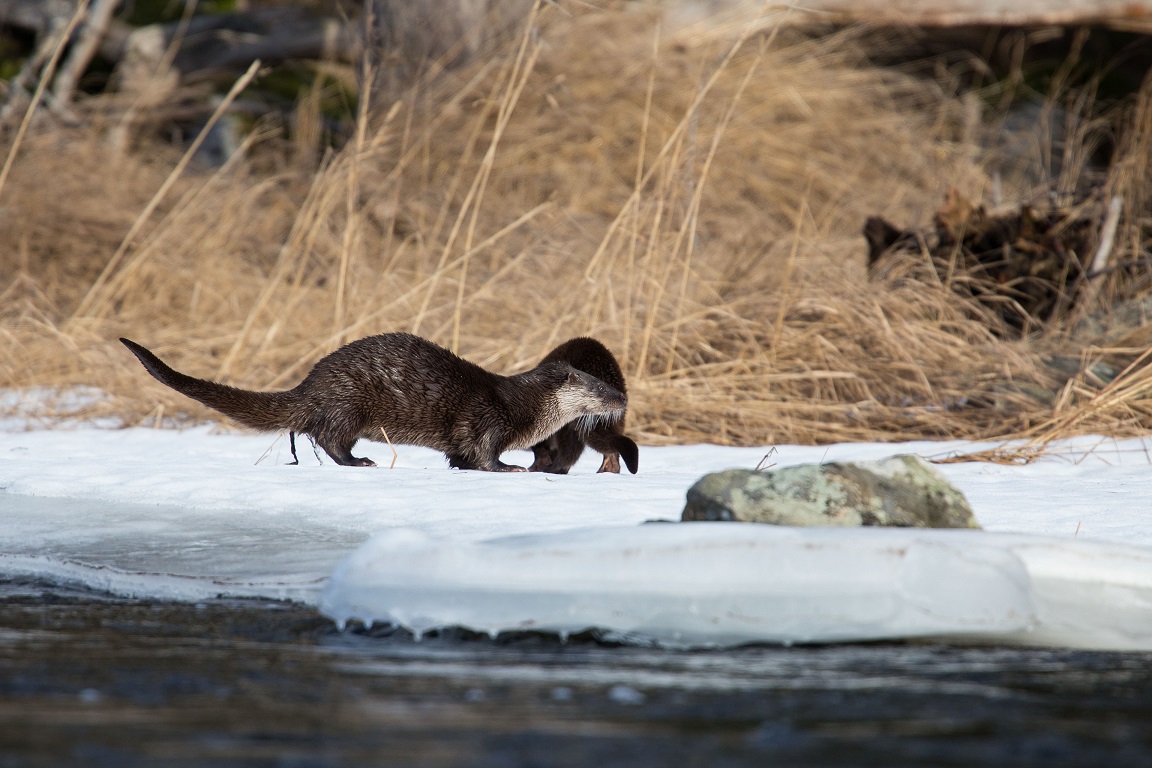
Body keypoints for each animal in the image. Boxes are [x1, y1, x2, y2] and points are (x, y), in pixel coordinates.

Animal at [120, 333, 626, 472]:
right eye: (600, 388)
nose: (622, 397)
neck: (526, 409)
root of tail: (311, 384)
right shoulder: (488, 419)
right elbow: (484, 453)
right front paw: (509, 468)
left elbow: (459, 456)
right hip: (349, 404)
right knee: (329, 437)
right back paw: (359, 461)